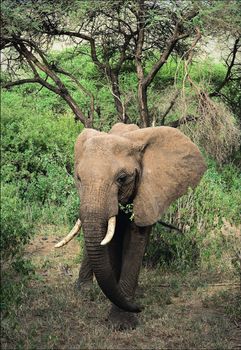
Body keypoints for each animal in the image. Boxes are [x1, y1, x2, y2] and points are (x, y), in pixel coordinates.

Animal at [55, 122, 206, 328]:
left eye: (122, 178)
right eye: (78, 178)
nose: (140, 308)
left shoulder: (148, 190)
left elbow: (135, 241)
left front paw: (122, 321)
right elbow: (110, 241)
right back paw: (84, 291)